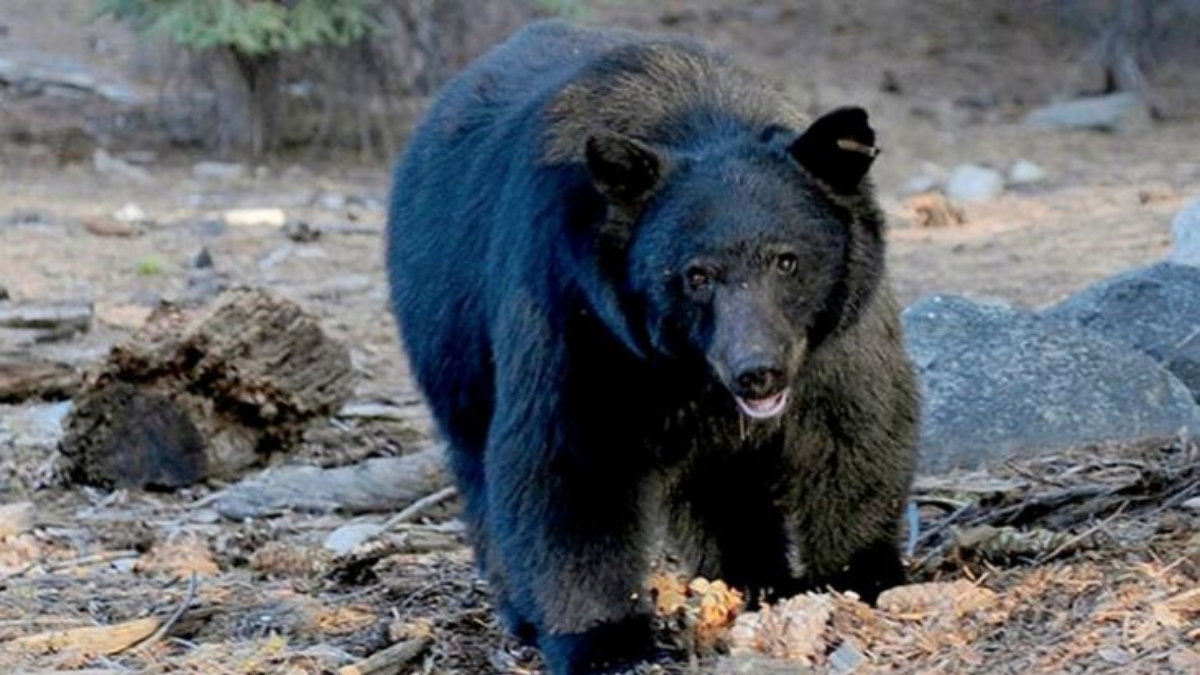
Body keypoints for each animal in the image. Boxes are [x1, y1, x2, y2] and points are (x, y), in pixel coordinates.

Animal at [388, 18, 921, 672]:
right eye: (696, 275)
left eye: (787, 260)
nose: (757, 372)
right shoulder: (580, 315)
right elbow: (571, 465)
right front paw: (606, 640)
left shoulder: (836, 336)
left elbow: (853, 429)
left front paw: (859, 576)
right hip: (449, 335)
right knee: (478, 463)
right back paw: (521, 611)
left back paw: (750, 578)